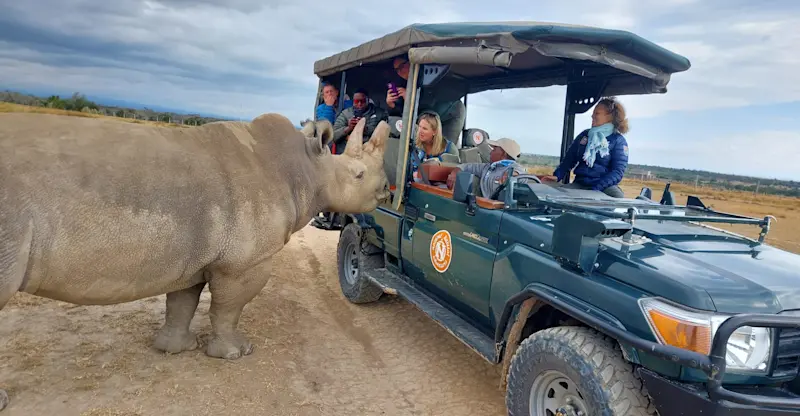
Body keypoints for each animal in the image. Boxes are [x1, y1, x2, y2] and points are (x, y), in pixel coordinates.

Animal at [0, 112, 390, 411]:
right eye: (358, 175)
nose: (386, 189)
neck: (308, 169)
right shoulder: (244, 264)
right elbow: (228, 308)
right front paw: (236, 354)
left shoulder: (190, 258)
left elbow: (182, 303)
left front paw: (175, 349)